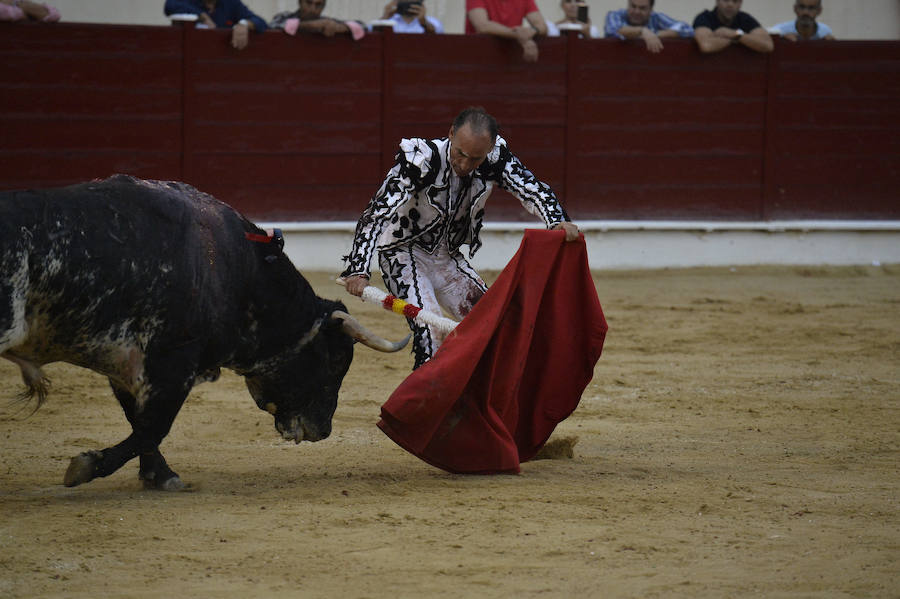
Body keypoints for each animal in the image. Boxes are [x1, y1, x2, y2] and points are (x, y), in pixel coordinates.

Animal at [0, 176, 408, 490]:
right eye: (336, 360)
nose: (322, 429)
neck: (235, 272)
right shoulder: (173, 360)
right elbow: (152, 426)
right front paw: (85, 467)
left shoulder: (126, 361)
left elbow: (139, 422)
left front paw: (158, 475)